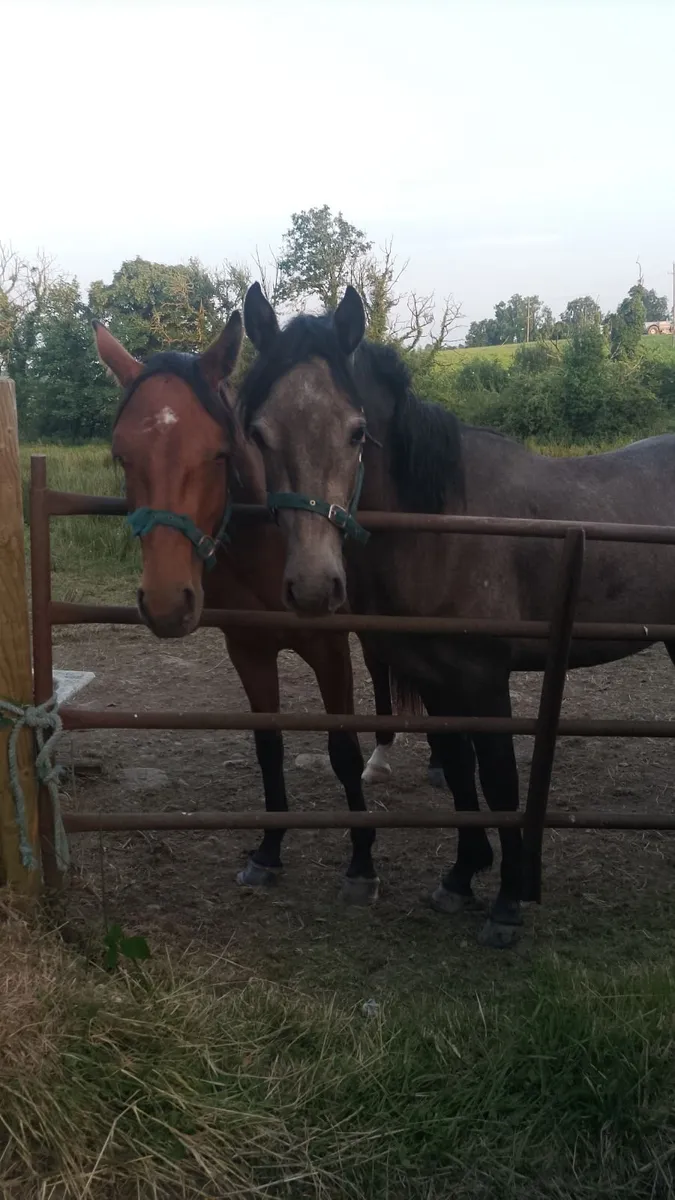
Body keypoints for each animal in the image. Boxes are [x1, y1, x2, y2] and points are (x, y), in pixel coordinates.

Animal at [93, 315, 434, 903]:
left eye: (219, 453)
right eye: (121, 455)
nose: (166, 602)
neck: (267, 547)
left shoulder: (329, 648)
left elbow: (341, 749)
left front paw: (361, 862)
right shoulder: (248, 651)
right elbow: (268, 747)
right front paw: (268, 851)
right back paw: (384, 757)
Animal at [239, 281, 675, 948]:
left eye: (357, 431)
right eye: (260, 433)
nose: (314, 585)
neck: (443, 523)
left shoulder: (484, 679)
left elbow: (498, 779)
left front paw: (508, 902)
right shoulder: (437, 679)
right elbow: (462, 776)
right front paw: (463, 877)